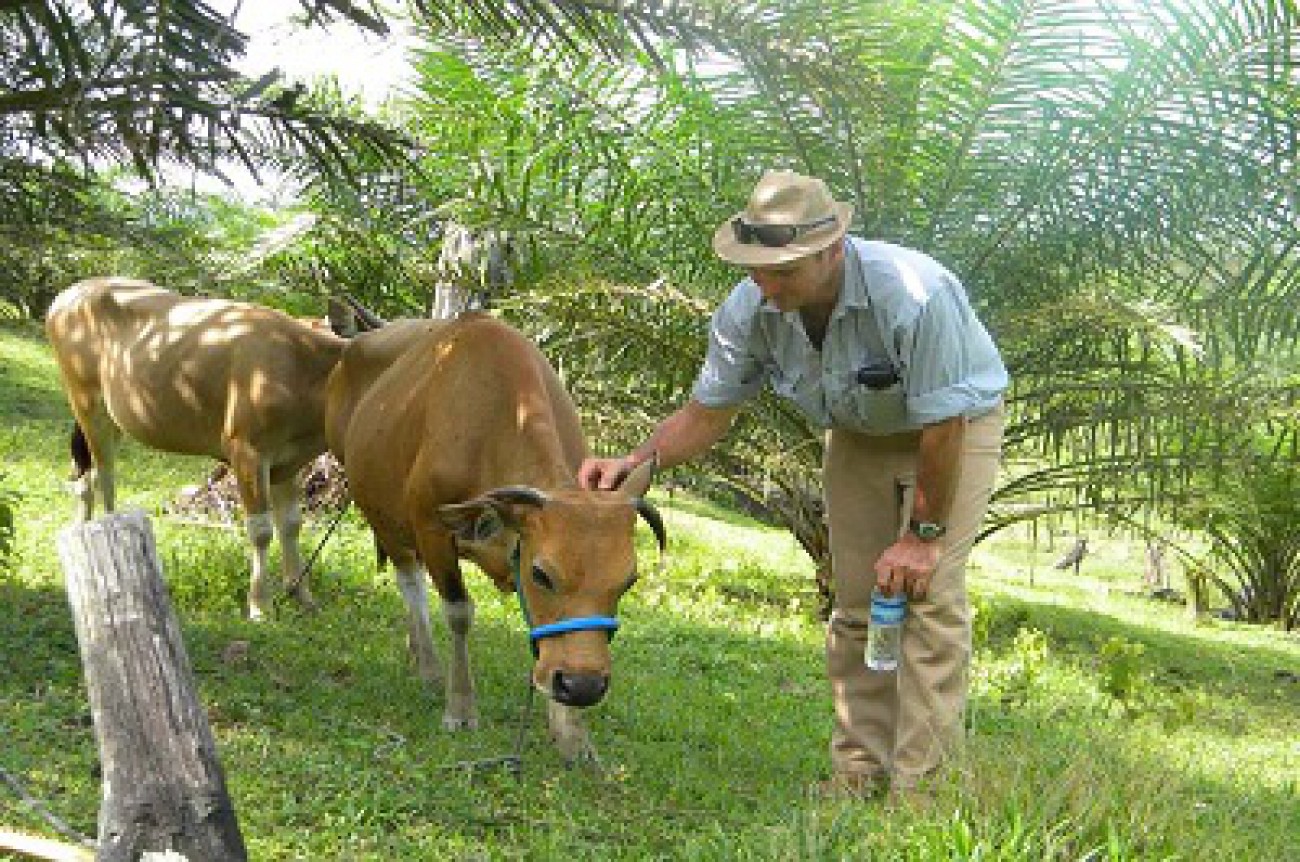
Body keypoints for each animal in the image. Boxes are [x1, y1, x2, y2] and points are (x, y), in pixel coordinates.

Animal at [45, 276, 356, 621]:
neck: (301, 368)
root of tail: (68, 295)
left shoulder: (287, 464)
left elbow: (290, 525)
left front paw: (302, 595)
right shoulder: (247, 453)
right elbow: (261, 531)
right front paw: (259, 605)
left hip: (111, 418)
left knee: (85, 473)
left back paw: (83, 527)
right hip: (87, 403)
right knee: (105, 477)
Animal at [330, 315, 665, 764]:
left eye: (628, 581)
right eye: (542, 575)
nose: (583, 687)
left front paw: (573, 734)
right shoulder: (431, 527)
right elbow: (457, 612)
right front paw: (460, 706)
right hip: (383, 517)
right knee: (411, 585)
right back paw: (430, 667)